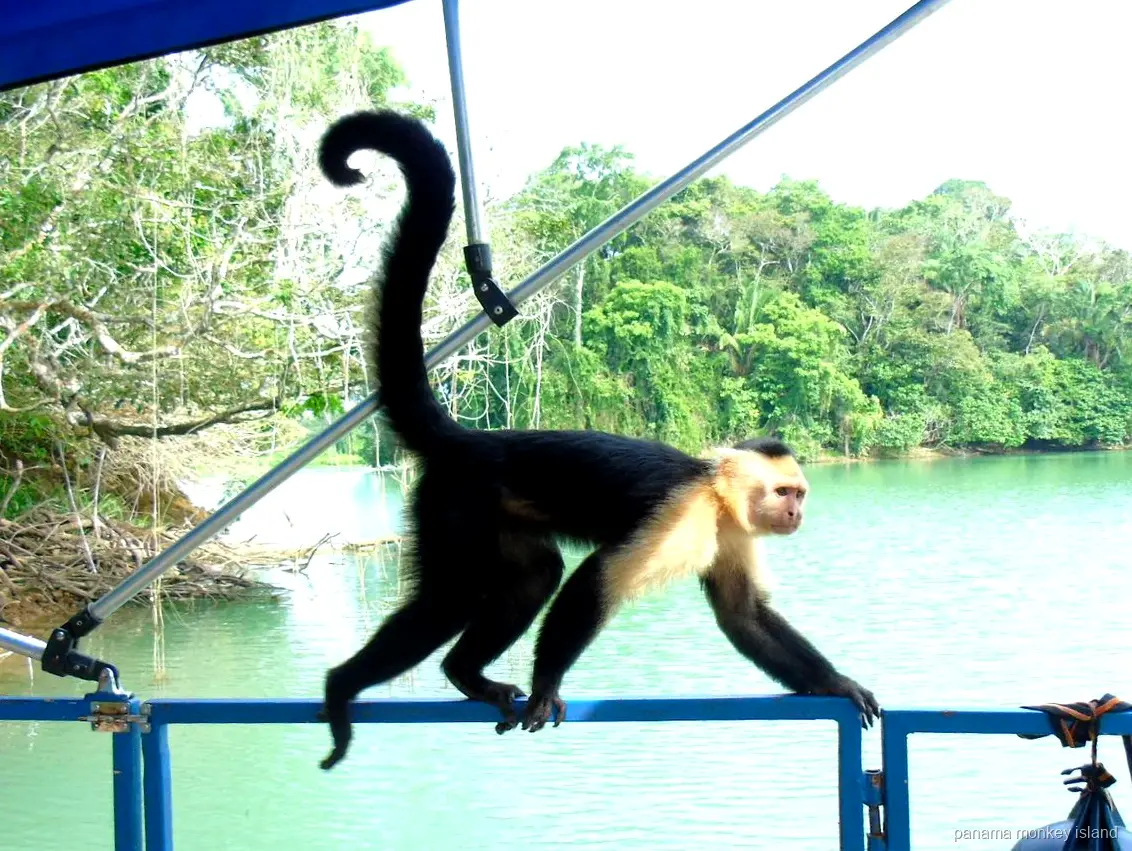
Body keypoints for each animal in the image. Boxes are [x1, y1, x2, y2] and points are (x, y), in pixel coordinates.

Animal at [314, 109, 880, 771]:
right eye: (787, 492)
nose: (796, 513)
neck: (717, 499)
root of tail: (473, 441)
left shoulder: (733, 532)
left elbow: (744, 618)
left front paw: (836, 682)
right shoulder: (684, 513)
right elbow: (596, 582)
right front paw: (547, 685)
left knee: (534, 575)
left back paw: (464, 674)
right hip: (457, 500)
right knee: (451, 597)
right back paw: (343, 685)